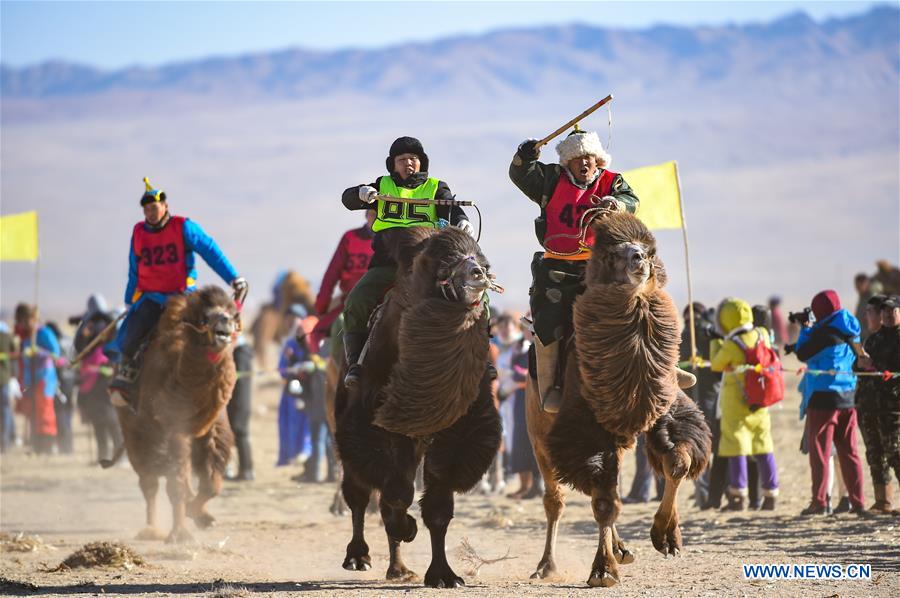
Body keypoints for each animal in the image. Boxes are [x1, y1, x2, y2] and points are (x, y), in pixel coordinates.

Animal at [107, 288, 241, 548]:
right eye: (207, 316)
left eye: (231, 311)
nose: (226, 322)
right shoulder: (172, 429)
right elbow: (175, 483)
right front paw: (181, 535)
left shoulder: (211, 428)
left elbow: (211, 482)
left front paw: (199, 514)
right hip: (134, 430)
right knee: (149, 481)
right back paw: (151, 529)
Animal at [336, 227, 506, 588]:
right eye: (440, 264)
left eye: (481, 257)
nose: (478, 273)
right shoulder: (379, 421)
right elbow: (397, 492)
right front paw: (406, 527)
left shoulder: (457, 429)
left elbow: (438, 507)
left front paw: (444, 574)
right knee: (358, 491)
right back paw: (359, 556)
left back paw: (398, 568)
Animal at [528, 213, 712, 588]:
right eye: (613, 254)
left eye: (649, 250)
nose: (639, 259)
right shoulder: (585, 430)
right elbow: (603, 502)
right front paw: (602, 570)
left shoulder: (664, 408)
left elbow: (678, 462)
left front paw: (666, 537)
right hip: (538, 436)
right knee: (556, 499)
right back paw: (547, 565)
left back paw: (623, 549)